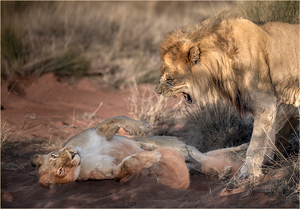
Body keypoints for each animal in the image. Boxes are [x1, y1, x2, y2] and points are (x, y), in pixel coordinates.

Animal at [29, 115, 247, 189]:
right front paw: (150, 158)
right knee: (201, 163)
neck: (85, 156)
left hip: (174, 145)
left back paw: (224, 169)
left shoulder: (98, 131)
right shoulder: (111, 171)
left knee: (202, 156)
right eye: (60, 172)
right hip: (183, 158)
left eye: (54, 156)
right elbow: (127, 163)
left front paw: (141, 126)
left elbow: (119, 118)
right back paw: (222, 172)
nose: (72, 155)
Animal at [156, 14, 298, 179]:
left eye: (169, 78)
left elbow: (256, 142)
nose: (157, 91)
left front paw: (249, 172)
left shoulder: (265, 103)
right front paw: (265, 160)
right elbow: (268, 136)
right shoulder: (278, 105)